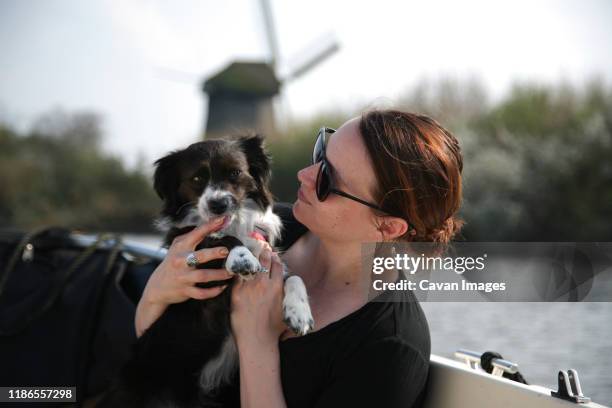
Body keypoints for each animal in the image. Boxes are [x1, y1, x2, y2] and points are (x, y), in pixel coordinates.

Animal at [100, 135, 314, 406]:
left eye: (235, 173)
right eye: (196, 179)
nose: (218, 204)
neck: (232, 224)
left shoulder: (272, 264)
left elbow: (294, 276)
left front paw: (299, 314)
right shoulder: (198, 268)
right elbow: (219, 240)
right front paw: (242, 258)